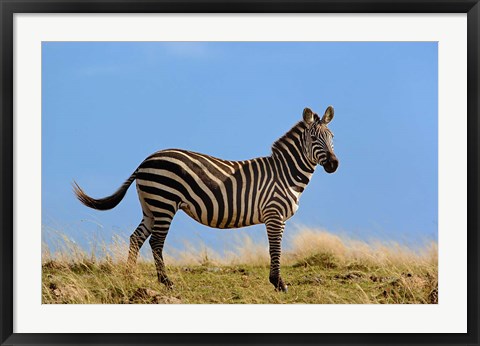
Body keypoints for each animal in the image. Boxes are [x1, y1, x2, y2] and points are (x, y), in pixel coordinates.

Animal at [74, 106, 338, 292]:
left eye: (332, 137)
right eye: (313, 138)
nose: (334, 164)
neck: (285, 174)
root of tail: (144, 161)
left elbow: (275, 249)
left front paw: (277, 282)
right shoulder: (274, 214)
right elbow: (276, 249)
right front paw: (278, 283)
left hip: (150, 207)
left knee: (136, 238)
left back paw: (129, 277)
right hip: (164, 203)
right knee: (156, 243)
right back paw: (166, 282)